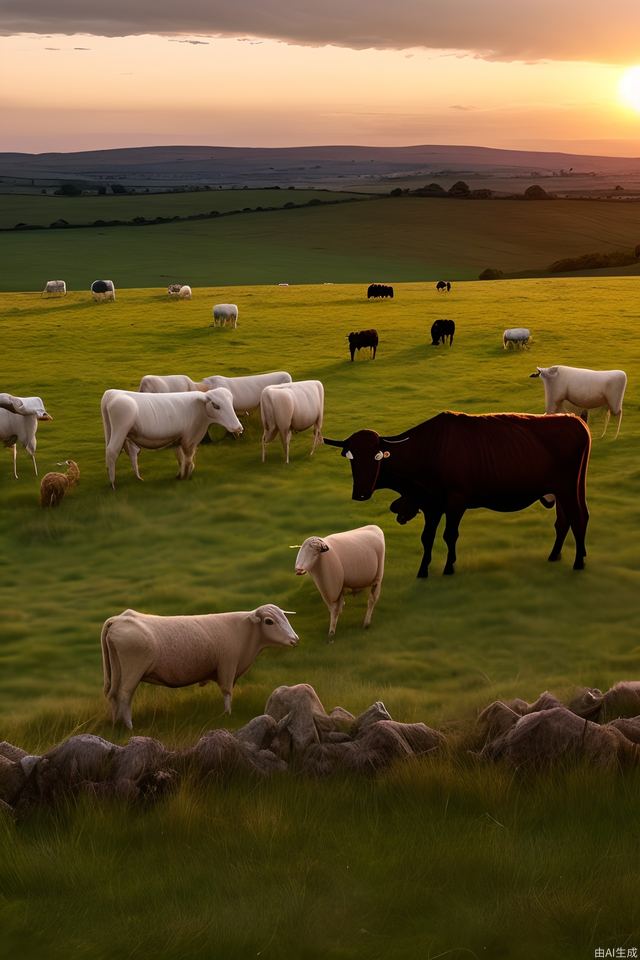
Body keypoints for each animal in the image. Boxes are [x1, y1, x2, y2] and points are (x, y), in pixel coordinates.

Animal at [100, 386, 242, 488]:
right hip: (120, 429)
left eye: (231, 404)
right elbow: (188, 458)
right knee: (112, 451)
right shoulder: (189, 439)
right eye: (216, 405)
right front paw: (185, 477)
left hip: (116, 432)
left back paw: (137, 478)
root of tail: (112, 393)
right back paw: (113, 484)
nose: (238, 427)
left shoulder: (178, 438)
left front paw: (180, 475)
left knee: (130, 453)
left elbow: (180, 458)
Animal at [100, 600, 300, 728]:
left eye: (285, 618)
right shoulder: (227, 665)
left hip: (116, 670)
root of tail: (118, 619)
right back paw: (129, 726)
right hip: (132, 670)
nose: (295, 639)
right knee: (124, 694)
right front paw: (227, 715)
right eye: (269, 621)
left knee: (113, 695)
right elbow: (227, 692)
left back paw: (116, 723)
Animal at [324, 410, 592, 576]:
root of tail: (574, 420)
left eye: (377, 456)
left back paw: (578, 562)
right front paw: (423, 571)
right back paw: (555, 555)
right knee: (564, 520)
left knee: (577, 518)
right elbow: (427, 537)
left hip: (568, 488)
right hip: (564, 490)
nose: (361, 493)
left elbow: (449, 535)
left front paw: (448, 567)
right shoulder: (432, 505)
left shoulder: (456, 501)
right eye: (351, 457)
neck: (429, 450)